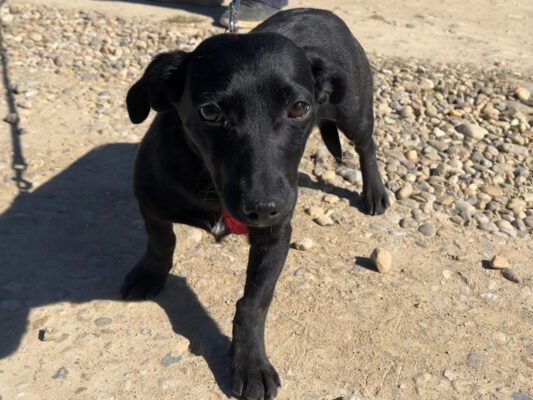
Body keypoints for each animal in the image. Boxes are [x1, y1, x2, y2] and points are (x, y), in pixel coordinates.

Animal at [122, 8, 389, 400]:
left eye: (299, 108)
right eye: (210, 112)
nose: (263, 207)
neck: (210, 186)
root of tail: (319, 10)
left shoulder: (275, 235)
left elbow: (253, 301)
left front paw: (250, 363)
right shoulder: (149, 199)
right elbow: (161, 242)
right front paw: (150, 273)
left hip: (354, 111)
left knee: (366, 145)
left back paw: (375, 192)